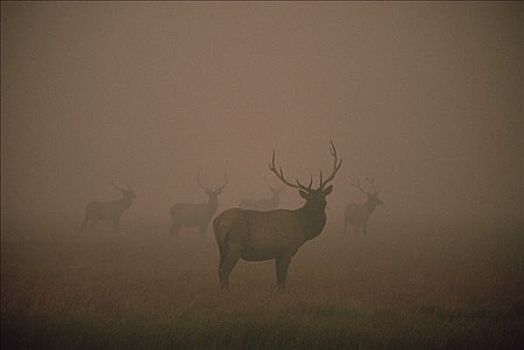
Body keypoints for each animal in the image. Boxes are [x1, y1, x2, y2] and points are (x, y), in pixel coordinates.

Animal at [213, 140, 340, 290]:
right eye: (309, 199)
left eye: (323, 196)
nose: (321, 203)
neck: (302, 230)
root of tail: (217, 221)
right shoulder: (286, 249)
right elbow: (282, 280)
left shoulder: (278, 254)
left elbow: (279, 278)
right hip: (234, 244)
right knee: (224, 270)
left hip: (222, 248)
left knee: (219, 269)